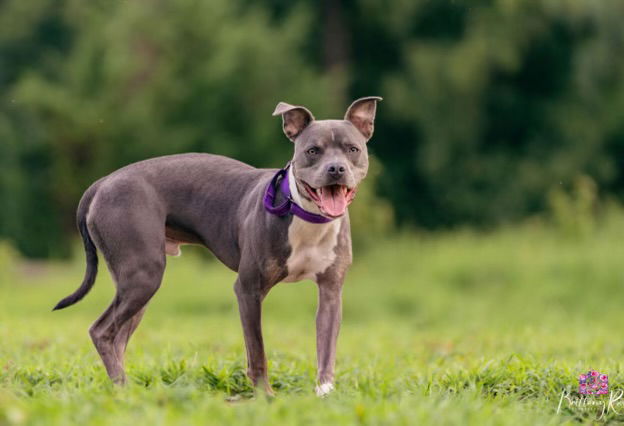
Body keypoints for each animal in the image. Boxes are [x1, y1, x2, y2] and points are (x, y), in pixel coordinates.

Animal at [53, 96, 382, 396]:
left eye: (352, 149)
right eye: (312, 151)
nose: (336, 169)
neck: (306, 214)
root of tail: (104, 182)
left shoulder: (330, 292)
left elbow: (326, 349)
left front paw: (325, 393)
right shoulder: (248, 289)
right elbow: (257, 350)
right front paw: (265, 396)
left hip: (137, 287)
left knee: (118, 337)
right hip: (143, 276)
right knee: (102, 332)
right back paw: (123, 389)